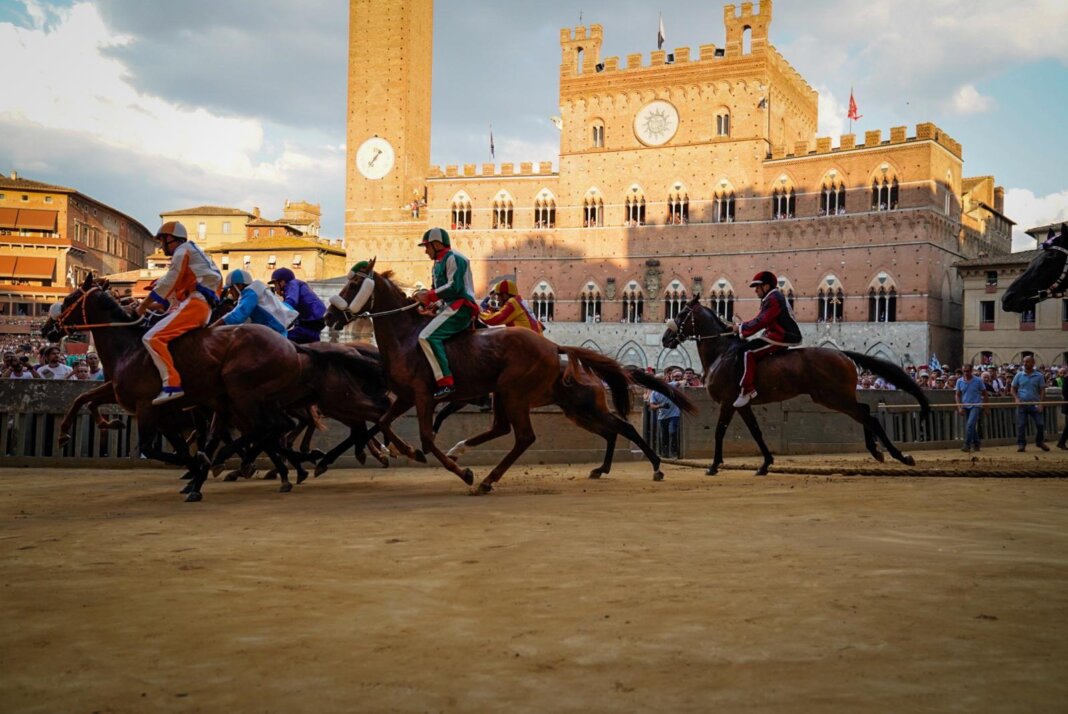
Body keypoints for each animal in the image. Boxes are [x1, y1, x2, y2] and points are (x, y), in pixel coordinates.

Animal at [320, 260, 666, 490]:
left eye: (353, 285)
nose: (328, 316)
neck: (407, 337)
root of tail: (554, 348)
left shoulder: (424, 395)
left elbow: (427, 437)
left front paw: (459, 470)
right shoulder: (407, 396)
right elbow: (383, 422)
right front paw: (400, 450)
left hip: (521, 394)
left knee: (533, 436)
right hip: (549, 404)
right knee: (601, 430)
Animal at [657, 294, 927, 473]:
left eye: (681, 314)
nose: (665, 339)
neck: (723, 352)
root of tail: (842, 354)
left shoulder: (727, 402)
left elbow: (719, 431)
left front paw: (713, 466)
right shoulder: (741, 404)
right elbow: (755, 431)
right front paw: (766, 463)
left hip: (834, 397)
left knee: (868, 417)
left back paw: (900, 456)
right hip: (836, 397)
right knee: (865, 412)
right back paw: (877, 451)